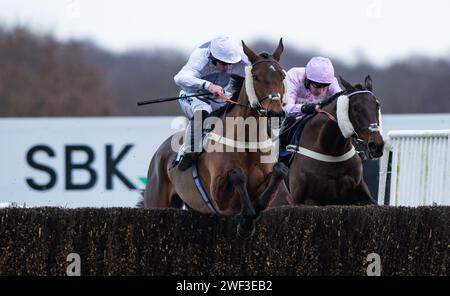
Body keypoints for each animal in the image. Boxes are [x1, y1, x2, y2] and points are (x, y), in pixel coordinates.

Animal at [144, 39, 288, 238]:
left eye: (282, 76)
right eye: (256, 77)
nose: (276, 113)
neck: (247, 143)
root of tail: (159, 151)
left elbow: (279, 172)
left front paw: (251, 215)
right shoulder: (219, 197)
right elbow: (237, 175)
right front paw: (246, 221)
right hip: (156, 201)